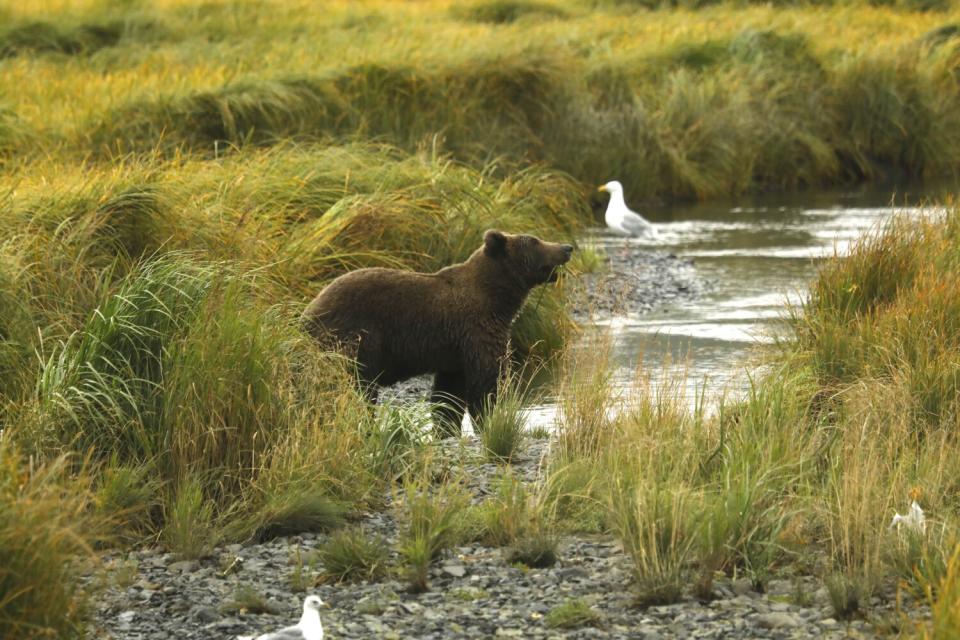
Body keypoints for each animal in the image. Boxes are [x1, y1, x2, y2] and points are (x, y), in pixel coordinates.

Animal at [302, 229, 568, 436]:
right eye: (534, 240)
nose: (567, 247)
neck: (497, 299)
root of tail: (309, 310)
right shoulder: (476, 331)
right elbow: (486, 382)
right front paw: (491, 420)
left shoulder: (455, 352)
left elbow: (448, 395)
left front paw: (446, 427)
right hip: (355, 339)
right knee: (352, 388)